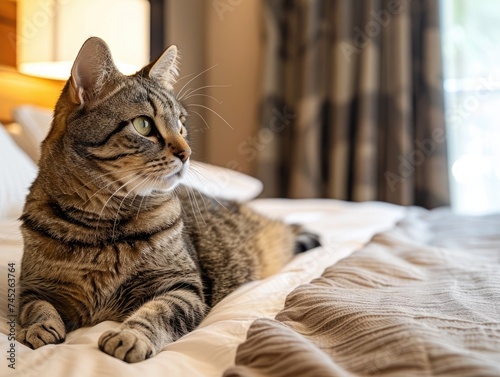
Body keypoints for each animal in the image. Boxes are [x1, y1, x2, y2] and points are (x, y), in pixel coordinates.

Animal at [17, 37, 320, 362]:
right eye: (143, 125)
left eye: (181, 125)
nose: (187, 153)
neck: (102, 222)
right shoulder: (32, 285)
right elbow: (34, 307)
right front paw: (38, 328)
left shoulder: (182, 286)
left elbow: (158, 312)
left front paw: (130, 336)